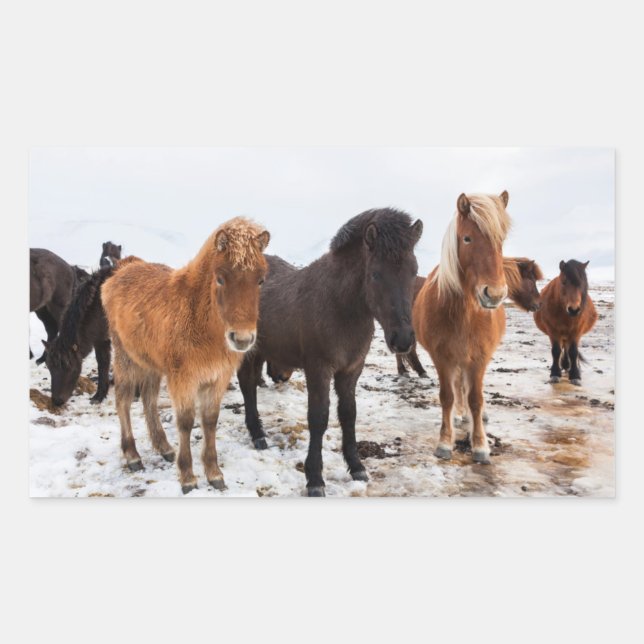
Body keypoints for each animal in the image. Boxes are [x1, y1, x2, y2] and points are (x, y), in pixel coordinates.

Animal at [101, 218, 270, 494]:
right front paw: (188, 477)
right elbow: (186, 422)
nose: (242, 339)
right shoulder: (183, 379)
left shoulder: (217, 378)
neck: (199, 318)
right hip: (126, 358)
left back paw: (164, 447)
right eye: (220, 278)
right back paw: (132, 455)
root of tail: (123, 269)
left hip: (151, 364)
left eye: (260, 280)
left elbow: (209, 420)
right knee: (123, 401)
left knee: (148, 399)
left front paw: (214, 473)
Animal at [237, 209, 423, 496]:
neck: (339, 305)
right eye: (375, 274)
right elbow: (319, 418)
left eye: (414, 272)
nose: (402, 340)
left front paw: (356, 466)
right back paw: (258, 435)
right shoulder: (318, 369)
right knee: (247, 385)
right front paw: (315, 478)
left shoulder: (351, 370)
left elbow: (348, 414)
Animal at [413, 192, 511, 464]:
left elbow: (475, 399)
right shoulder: (442, 358)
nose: (494, 294)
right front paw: (445, 442)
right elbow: (447, 396)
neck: (465, 315)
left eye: (501, 240)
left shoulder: (479, 358)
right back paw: (459, 414)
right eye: (467, 238)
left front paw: (480, 445)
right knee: (458, 389)